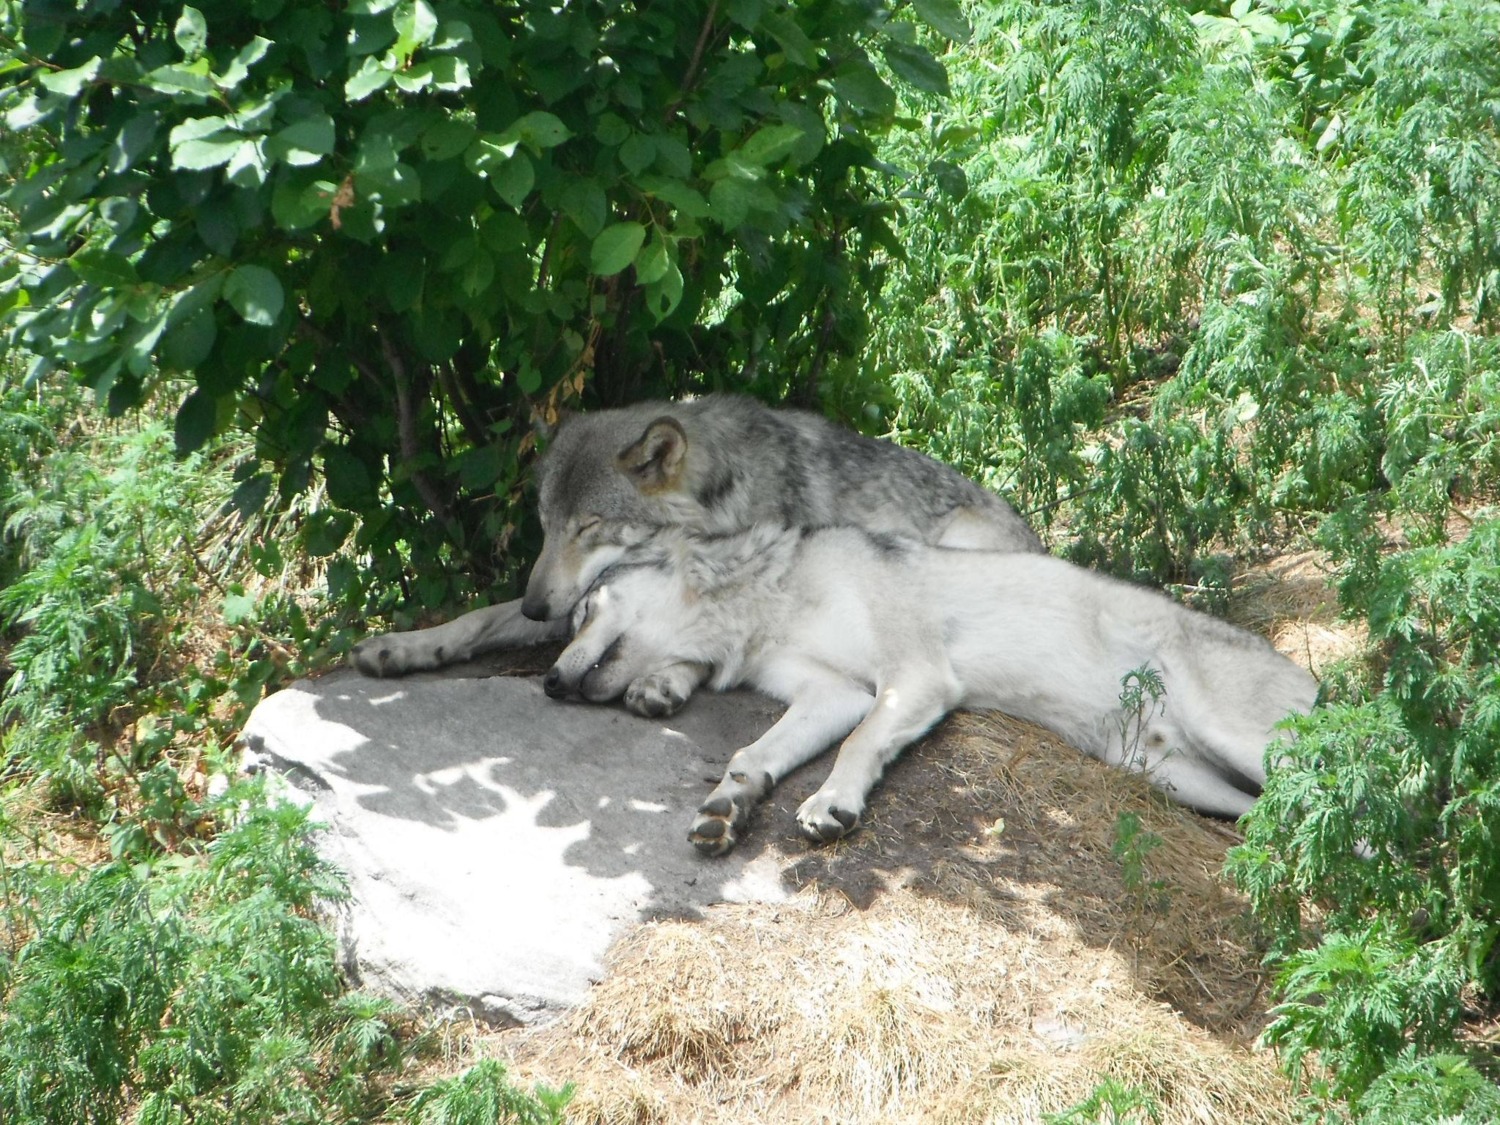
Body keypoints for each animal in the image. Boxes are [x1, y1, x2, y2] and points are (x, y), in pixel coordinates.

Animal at [350, 395, 1042, 717]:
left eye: (589, 527)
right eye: (546, 526)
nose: (536, 605)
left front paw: (664, 679)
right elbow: (478, 618)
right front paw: (402, 648)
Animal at [543, 524, 1318, 855]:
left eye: (583, 610)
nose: (548, 682)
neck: (771, 600)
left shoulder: (911, 679)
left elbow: (856, 748)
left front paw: (831, 804)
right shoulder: (834, 693)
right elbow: (750, 755)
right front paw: (728, 807)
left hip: (1243, 743)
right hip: (1171, 776)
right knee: (1267, 812)